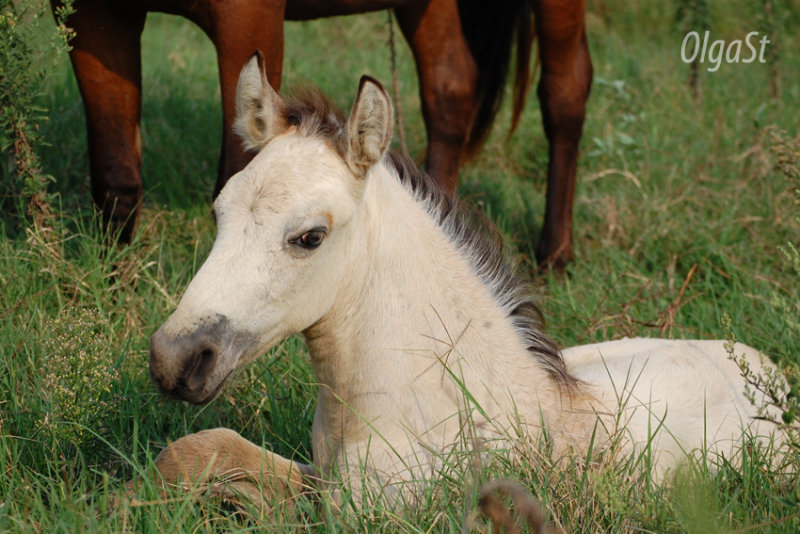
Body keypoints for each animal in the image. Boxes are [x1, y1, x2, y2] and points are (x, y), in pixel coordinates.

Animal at [50, 0, 588, 268]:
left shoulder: (248, 17)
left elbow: (237, 167)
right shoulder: (95, 15)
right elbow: (116, 180)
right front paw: (113, 293)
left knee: (564, 92)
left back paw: (554, 255)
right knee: (450, 90)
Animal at [145, 55, 780, 510]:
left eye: (309, 237)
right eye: (219, 212)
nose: (176, 358)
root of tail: (764, 369)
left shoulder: (377, 509)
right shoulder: (319, 475)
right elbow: (200, 449)